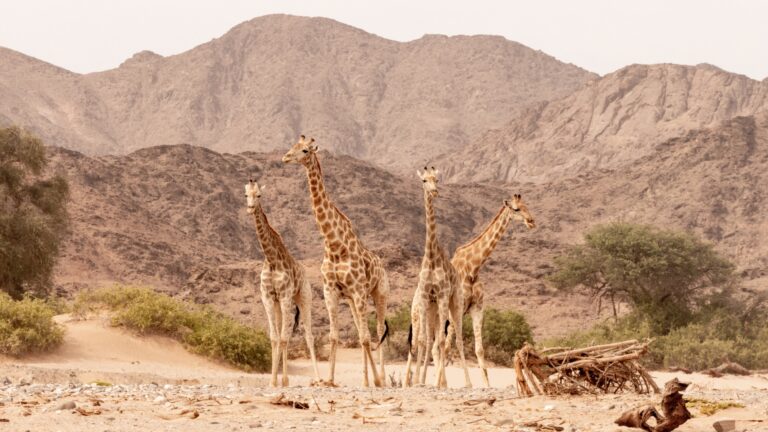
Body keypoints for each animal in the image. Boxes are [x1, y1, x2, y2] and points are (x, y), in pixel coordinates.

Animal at [245, 178, 321, 387]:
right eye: (246, 195)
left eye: (259, 195)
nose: (250, 208)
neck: (271, 260)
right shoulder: (268, 297)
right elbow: (275, 338)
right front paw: (273, 381)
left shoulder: (286, 297)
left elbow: (285, 338)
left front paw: (281, 380)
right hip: (280, 304)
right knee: (282, 334)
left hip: (303, 298)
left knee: (309, 336)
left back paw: (320, 379)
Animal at [282, 135, 390, 387]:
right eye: (292, 146)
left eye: (304, 150)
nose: (285, 157)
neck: (334, 245)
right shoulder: (330, 291)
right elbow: (334, 335)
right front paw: (329, 380)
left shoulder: (359, 290)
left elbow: (365, 337)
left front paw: (371, 381)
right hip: (352, 300)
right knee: (363, 331)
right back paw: (370, 378)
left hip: (378, 292)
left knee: (378, 330)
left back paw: (380, 379)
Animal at [404, 167, 471, 388]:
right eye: (424, 180)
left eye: (437, 179)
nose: (434, 191)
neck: (432, 257)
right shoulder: (427, 297)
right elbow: (424, 341)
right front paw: (419, 381)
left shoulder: (441, 296)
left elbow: (441, 341)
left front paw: (441, 383)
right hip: (432, 309)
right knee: (430, 340)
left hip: (454, 303)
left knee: (456, 339)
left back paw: (465, 383)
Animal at [447, 194, 535, 387]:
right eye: (516, 209)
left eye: (527, 206)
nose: (531, 221)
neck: (473, 267)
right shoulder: (459, 307)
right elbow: (458, 342)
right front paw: (467, 384)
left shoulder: (477, 307)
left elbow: (479, 348)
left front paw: (487, 385)